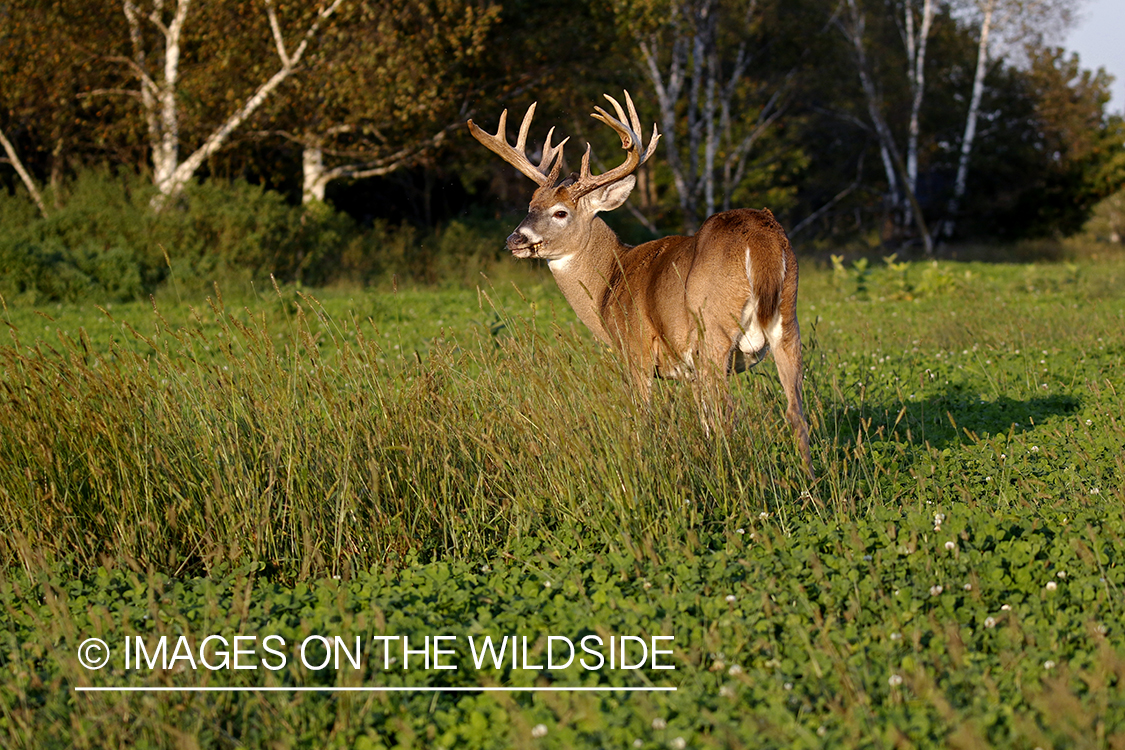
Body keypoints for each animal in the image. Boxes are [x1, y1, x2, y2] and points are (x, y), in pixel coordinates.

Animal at [470, 92, 814, 474]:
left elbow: (644, 418)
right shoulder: (688, 368)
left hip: (713, 329)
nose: (515, 239)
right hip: (787, 321)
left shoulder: (636, 348)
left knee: (729, 413)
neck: (610, 281)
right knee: (796, 412)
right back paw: (809, 480)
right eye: (530, 205)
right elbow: (704, 422)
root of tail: (760, 237)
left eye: (561, 212)